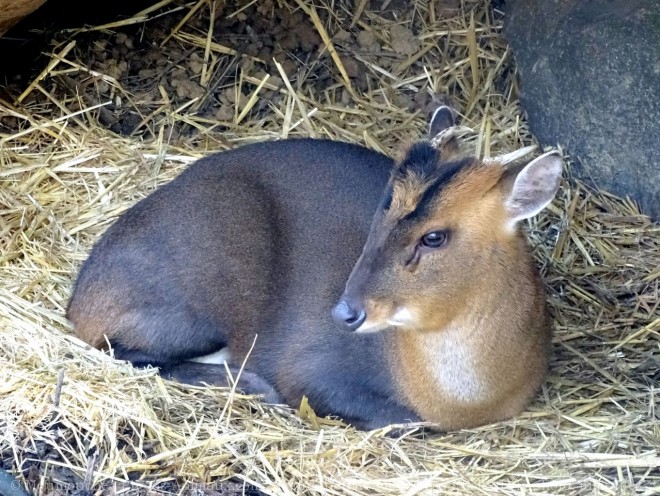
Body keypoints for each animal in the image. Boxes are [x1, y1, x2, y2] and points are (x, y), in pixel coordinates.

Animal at [68, 107, 564, 430]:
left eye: (435, 236)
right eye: (382, 208)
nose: (346, 312)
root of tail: (79, 296)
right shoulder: (309, 368)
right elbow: (404, 420)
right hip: (192, 301)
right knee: (119, 348)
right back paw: (252, 384)